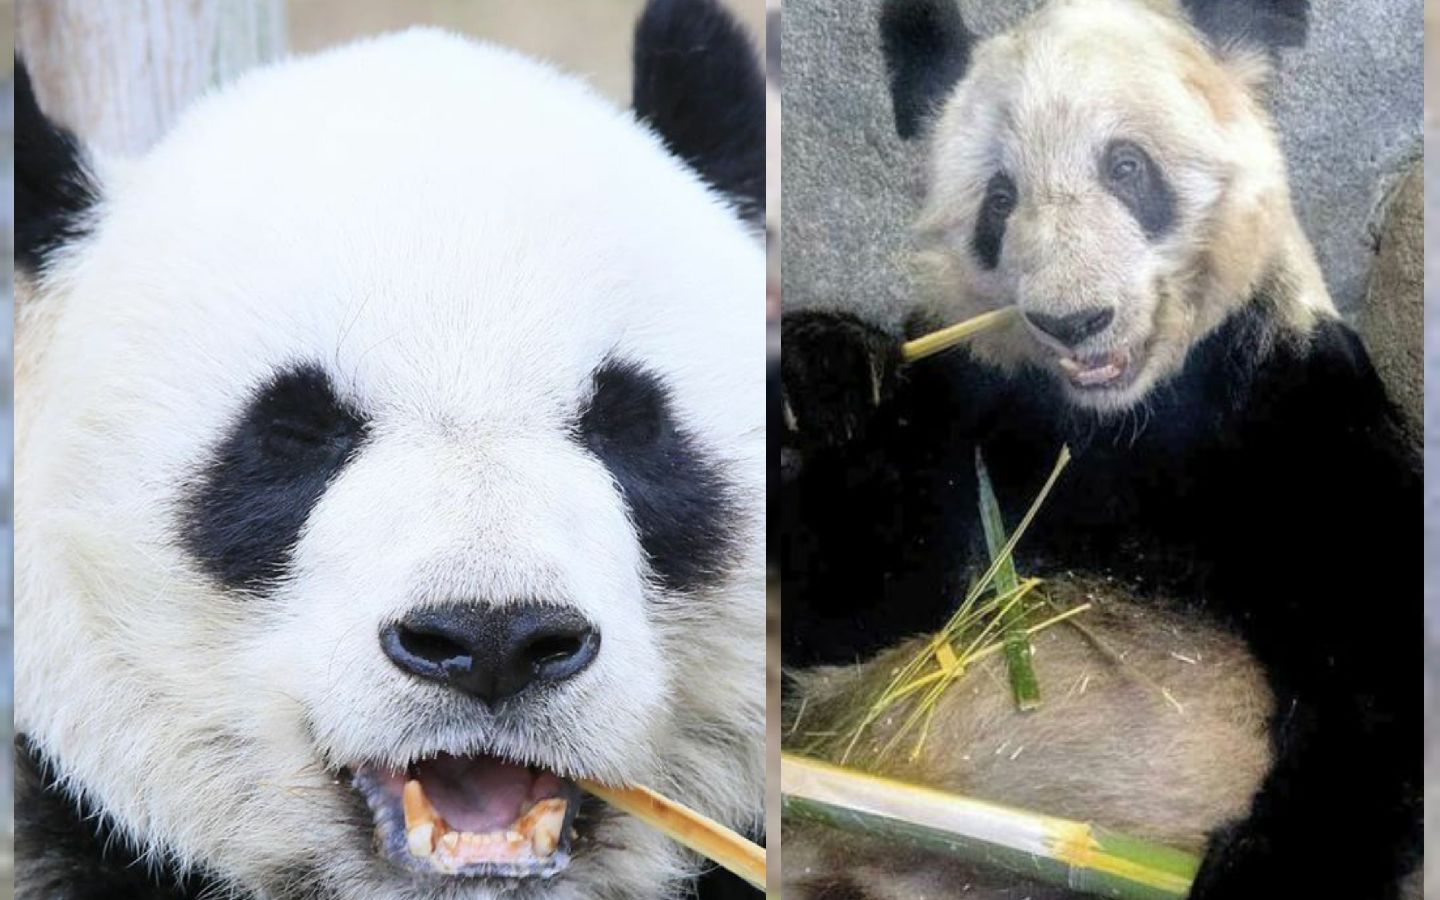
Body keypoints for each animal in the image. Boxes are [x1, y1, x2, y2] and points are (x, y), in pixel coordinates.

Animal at [777, 0, 1416, 892]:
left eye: (1127, 167)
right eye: (1000, 199)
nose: (1074, 321)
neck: (1121, 418)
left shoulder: (1292, 405)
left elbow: (1373, 654)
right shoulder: (974, 408)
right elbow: (857, 613)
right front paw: (829, 378)